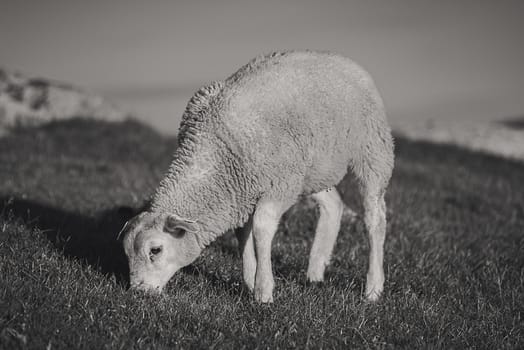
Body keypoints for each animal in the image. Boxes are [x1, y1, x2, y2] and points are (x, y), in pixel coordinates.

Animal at [122, 50, 392, 304]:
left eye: (155, 250)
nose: (138, 293)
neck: (216, 149)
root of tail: (342, 59)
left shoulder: (278, 184)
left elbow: (261, 228)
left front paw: (263, 291)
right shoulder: (242, 192)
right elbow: (243, 233)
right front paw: (250, 281)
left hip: (372, 148)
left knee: (375, 217)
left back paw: (373, 288)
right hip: (313, 169)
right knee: (333, 205)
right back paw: (315, 272)